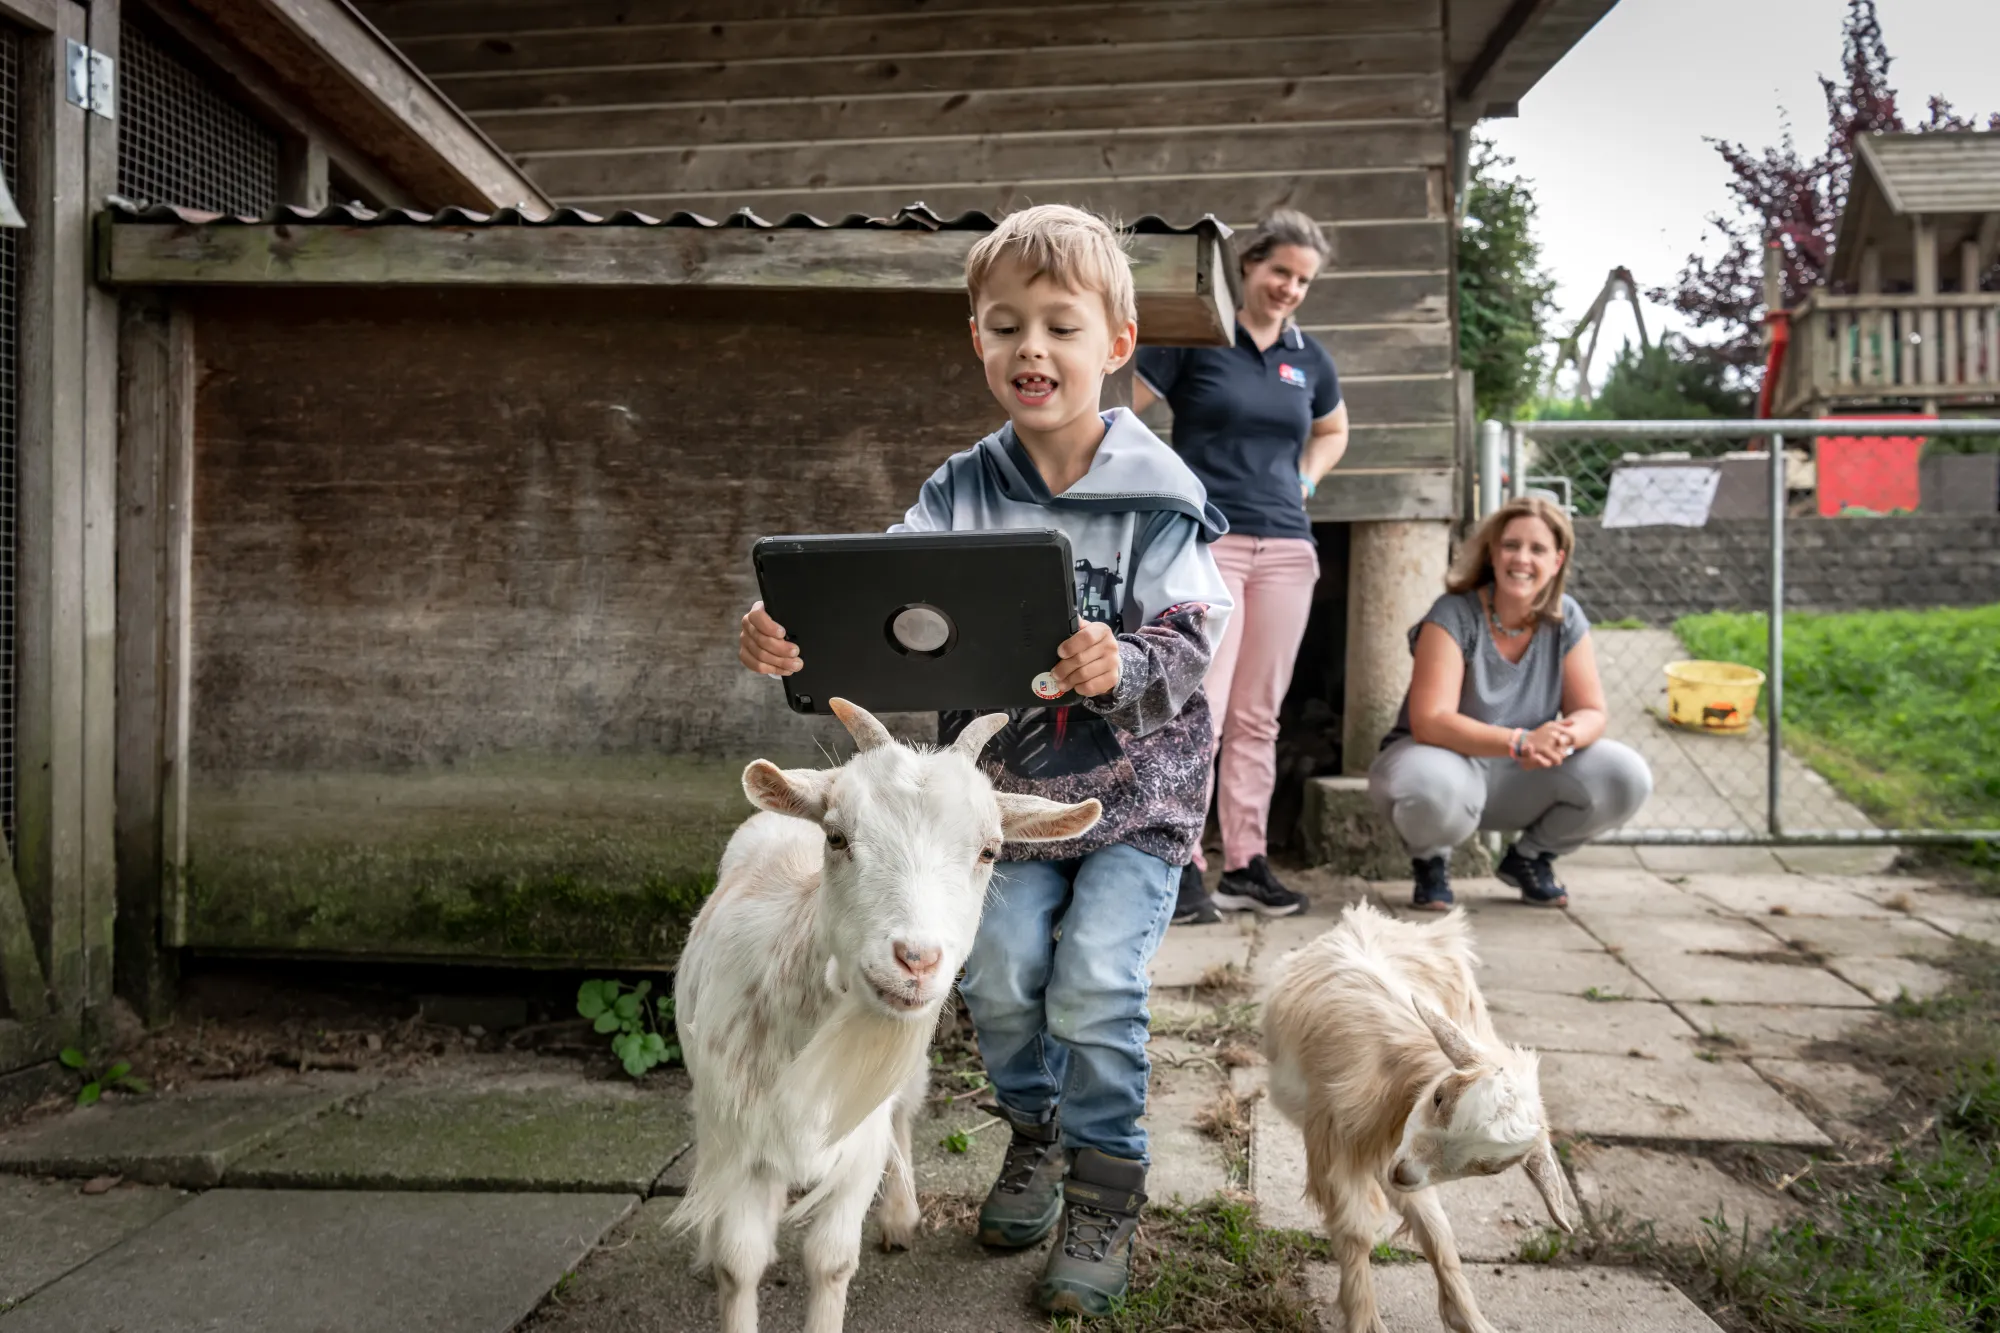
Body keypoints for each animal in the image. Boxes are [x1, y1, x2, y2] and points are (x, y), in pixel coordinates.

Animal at [680, 696, 1104, 1328]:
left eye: (989, 851)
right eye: (836, 837)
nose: (916, 960)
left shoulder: (859, 1142)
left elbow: (831, 1261)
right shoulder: (739, 1134)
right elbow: (740, 1264)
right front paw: (721, 1259)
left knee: (904, 1114)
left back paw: (900, 1217)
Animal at [1264, 892, 1576, 1328]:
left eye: (1490, 1168)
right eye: (1440, 1097)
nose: (1402, 1174)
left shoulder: (1400, 1158)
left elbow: (1437, 1231)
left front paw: (1469, 1320)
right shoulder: (1337, 1140)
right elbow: (1356, 1229)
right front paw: (1364, 1321)